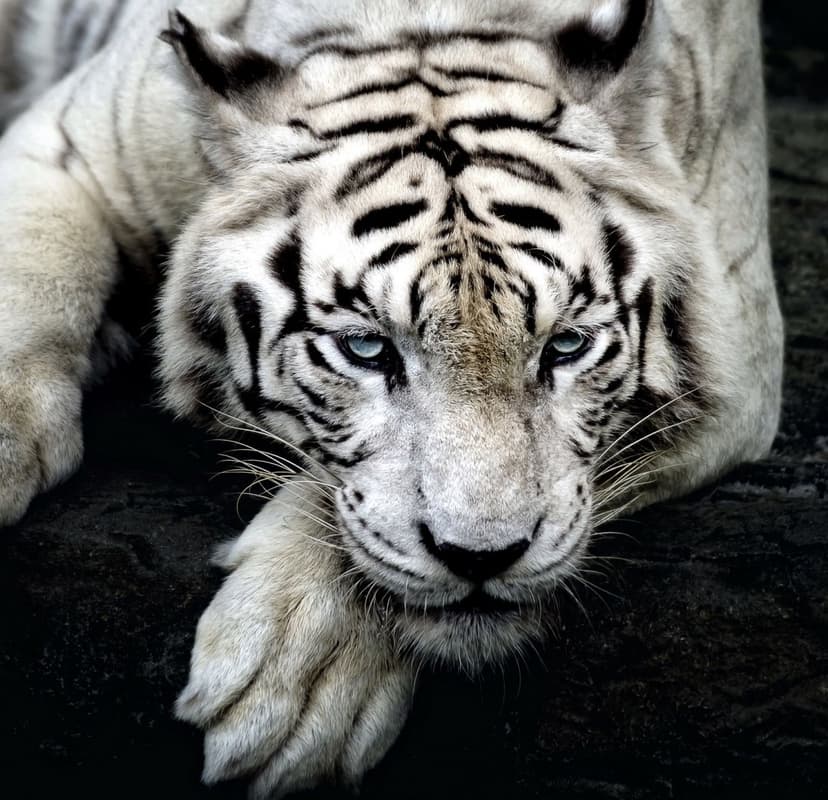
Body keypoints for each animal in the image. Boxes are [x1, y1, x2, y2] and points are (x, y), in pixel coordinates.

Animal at [0, 0, 783, 797]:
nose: (482, 559)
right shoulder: (71, 145)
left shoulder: (740, 358)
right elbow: (35, 268)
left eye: (565, 347)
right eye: (366, 349)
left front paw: (296, 677)